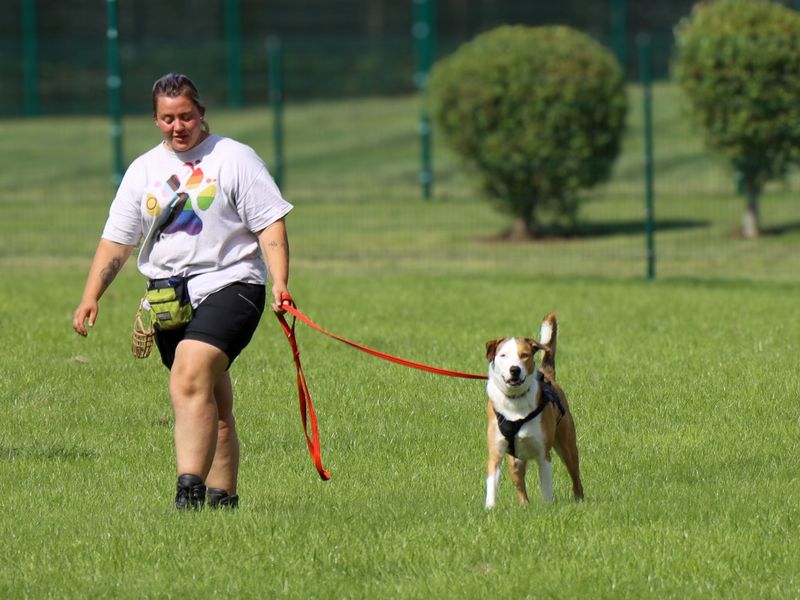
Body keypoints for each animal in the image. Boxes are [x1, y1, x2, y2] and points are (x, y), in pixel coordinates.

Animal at [484, 312, 584, 508]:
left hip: (567, 446)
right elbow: (492, 485)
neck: (514, 401)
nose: (515, 369)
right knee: (520, 486)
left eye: (524, 355)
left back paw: (580, 500)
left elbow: (546, 487)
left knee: (576, 477)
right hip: (515, 461)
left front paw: (547, 508)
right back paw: (524, 506)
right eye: (503, 355)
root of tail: (549, 377)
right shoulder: (496, 453)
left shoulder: (543, 454)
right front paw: (490, 509)